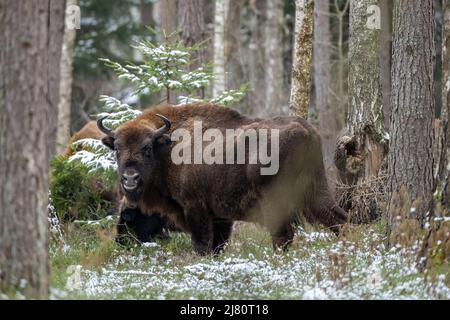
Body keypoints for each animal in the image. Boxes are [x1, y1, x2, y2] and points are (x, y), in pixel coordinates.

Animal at [96, 104, 346, 254]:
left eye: (147, 148)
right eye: (117, 149)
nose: (130, 178)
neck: (167, 147)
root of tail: (306, 131)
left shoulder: (195, 208)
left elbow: (201, 245)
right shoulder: (220, 217)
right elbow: (217, 245)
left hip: (276, 202)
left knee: (283, 235)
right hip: (317, 190)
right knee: (337, 219)